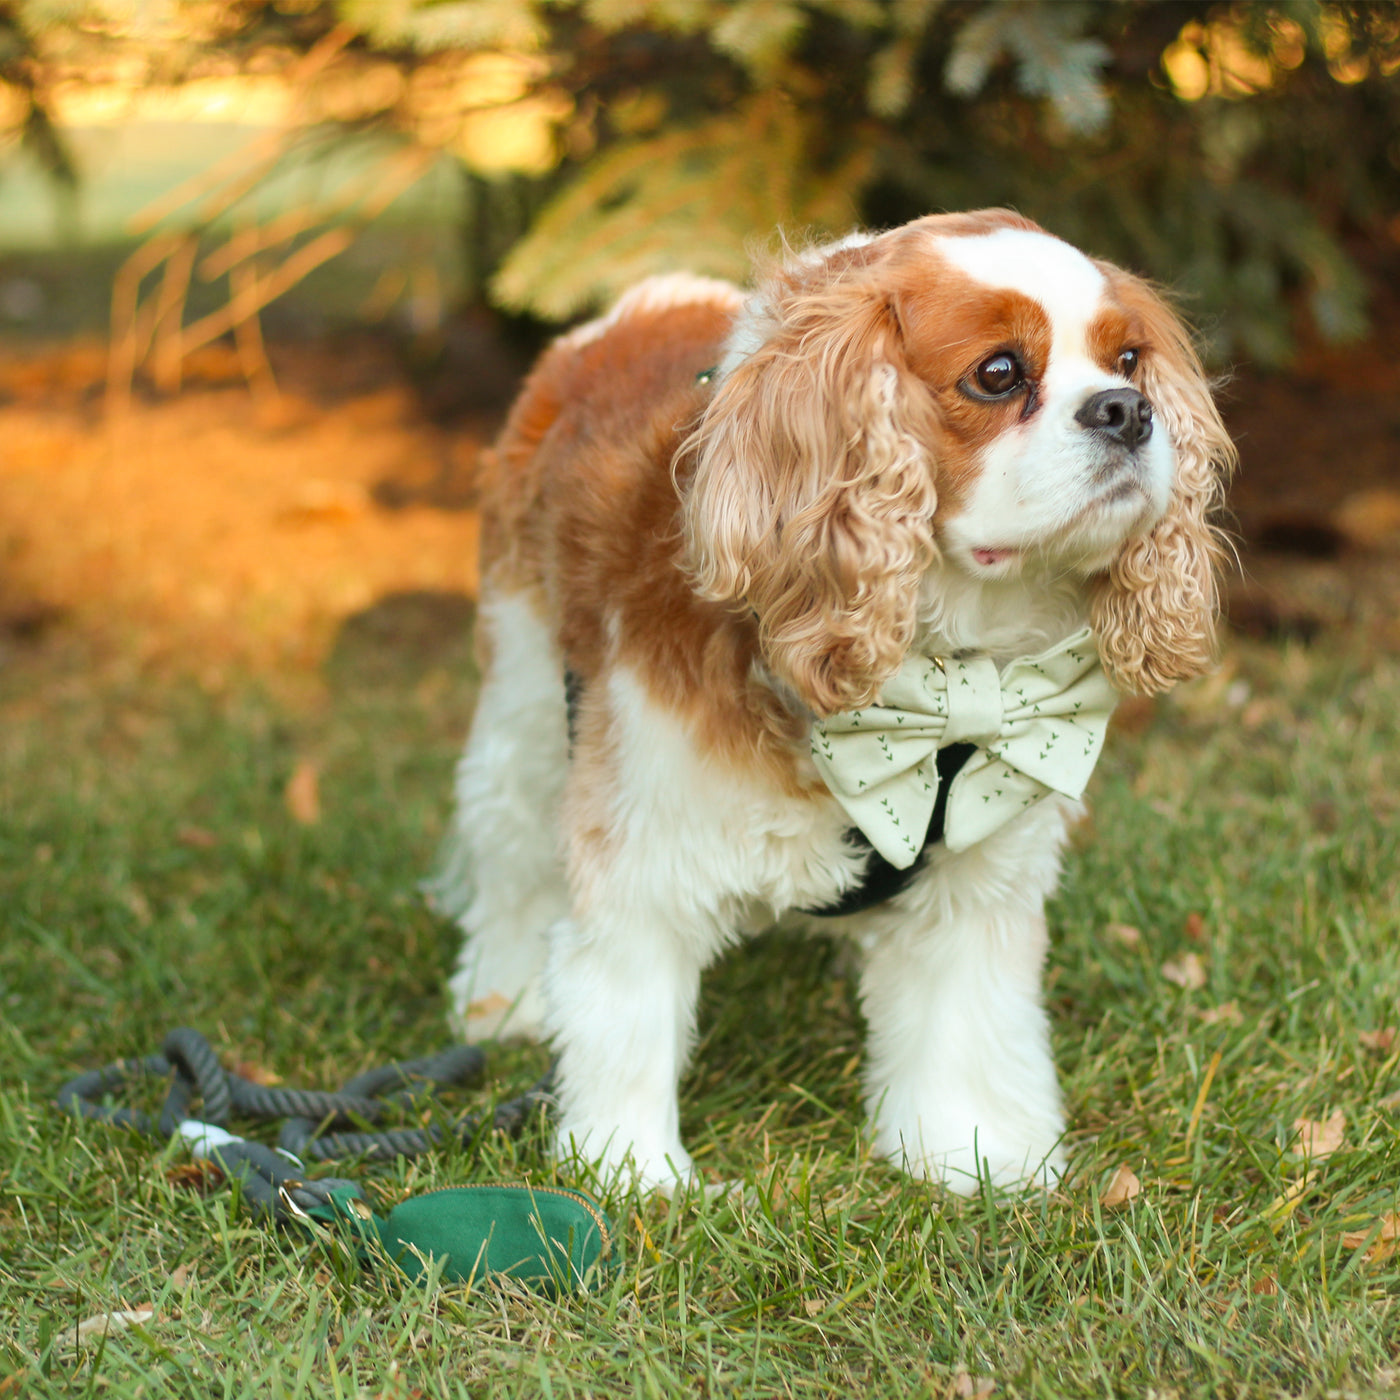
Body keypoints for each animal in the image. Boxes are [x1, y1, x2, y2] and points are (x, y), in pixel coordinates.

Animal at [436, 207, 1237, 1192]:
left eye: (1128, 359)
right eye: (998, 374)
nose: (1128, 410)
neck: (932, 671)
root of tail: (646, 301)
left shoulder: (973, 882)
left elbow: (963, 1026)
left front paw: (974, 1158)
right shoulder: (646, 850)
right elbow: (626, 1015)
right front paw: (635, 1176)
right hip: (524, 688)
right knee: (509, 851)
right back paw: (502, 1001)